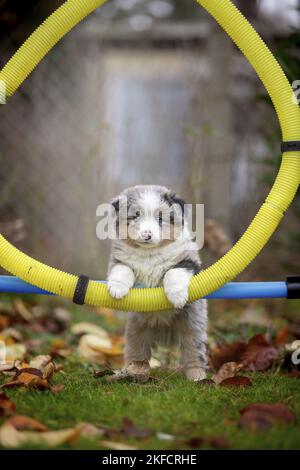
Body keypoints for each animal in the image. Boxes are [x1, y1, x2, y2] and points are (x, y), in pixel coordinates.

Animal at [106, 185, 207, 380]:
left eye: (160, 218)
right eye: (135, 215)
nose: (147, 234)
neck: (149, 253)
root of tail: (164, 328)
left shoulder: (189, 261)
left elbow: (173, 273)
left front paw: (176, 296)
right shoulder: (119, 259)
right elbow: (123, 270)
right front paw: (117, 289)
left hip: (192, 326)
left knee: (193, 352)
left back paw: (197, 375)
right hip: (136, 331)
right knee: (134, 352)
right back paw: (129, 373)